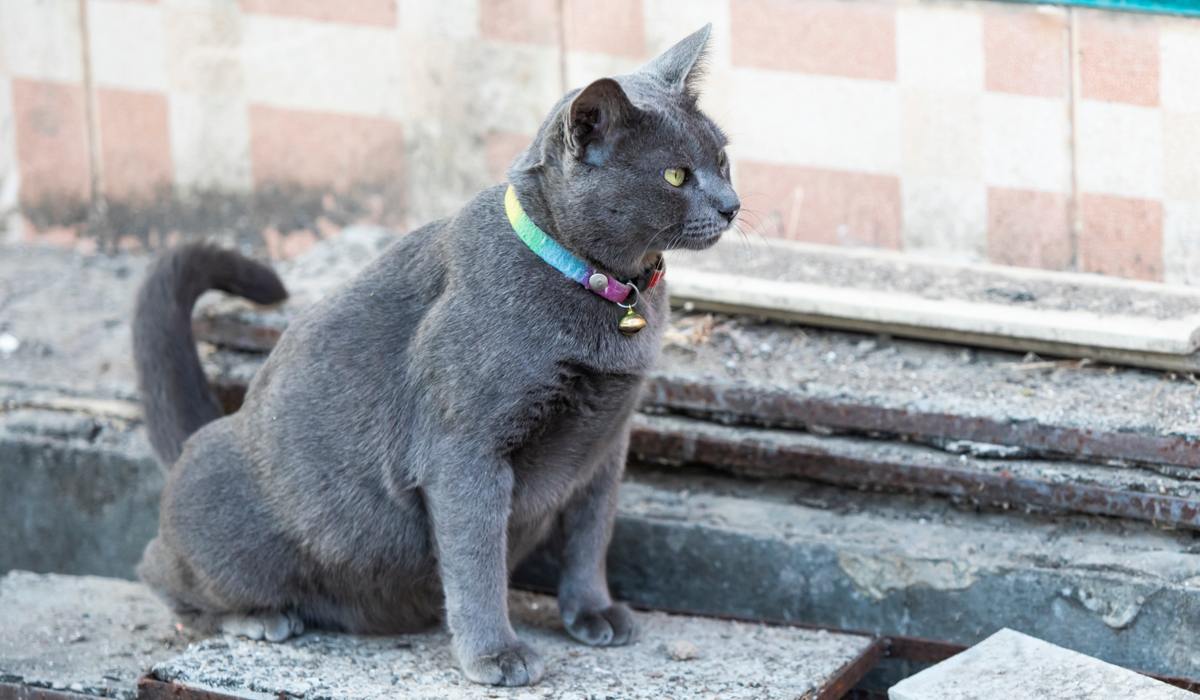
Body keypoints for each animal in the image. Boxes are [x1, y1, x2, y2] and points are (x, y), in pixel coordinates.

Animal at [131, 24, 729, 686]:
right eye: (675, 176)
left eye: (723, 159)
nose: (731, 204)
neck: (608, 291)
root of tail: (198, 437)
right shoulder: (464, 451)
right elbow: (476, 562)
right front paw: (496, 654)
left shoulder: (604, 445)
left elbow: (589, 537)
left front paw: (593, 613)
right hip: (231, 520)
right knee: (160, 572)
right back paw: (261, 617)